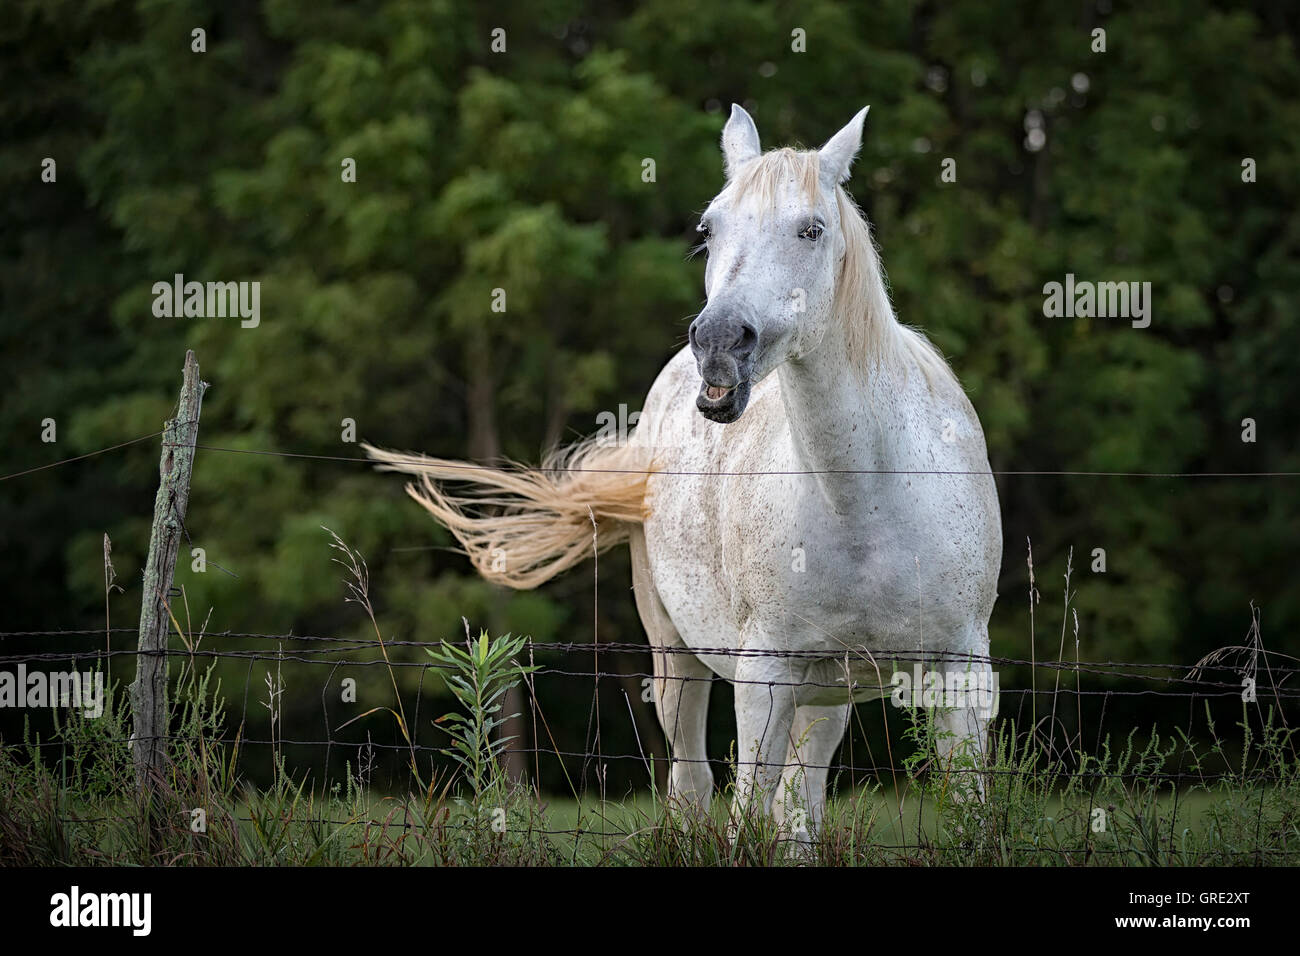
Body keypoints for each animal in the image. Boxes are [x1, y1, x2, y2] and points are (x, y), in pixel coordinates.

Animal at [365, 105, 1003, 838]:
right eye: (709, 228)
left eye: (811, 229)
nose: (720, 343)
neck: (868, 497)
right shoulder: (764, 679)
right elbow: (747, 811)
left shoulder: (961, 674)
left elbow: (963, 812)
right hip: (679, 661)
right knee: (694, 786)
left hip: (826, 694)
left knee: (799, 805)